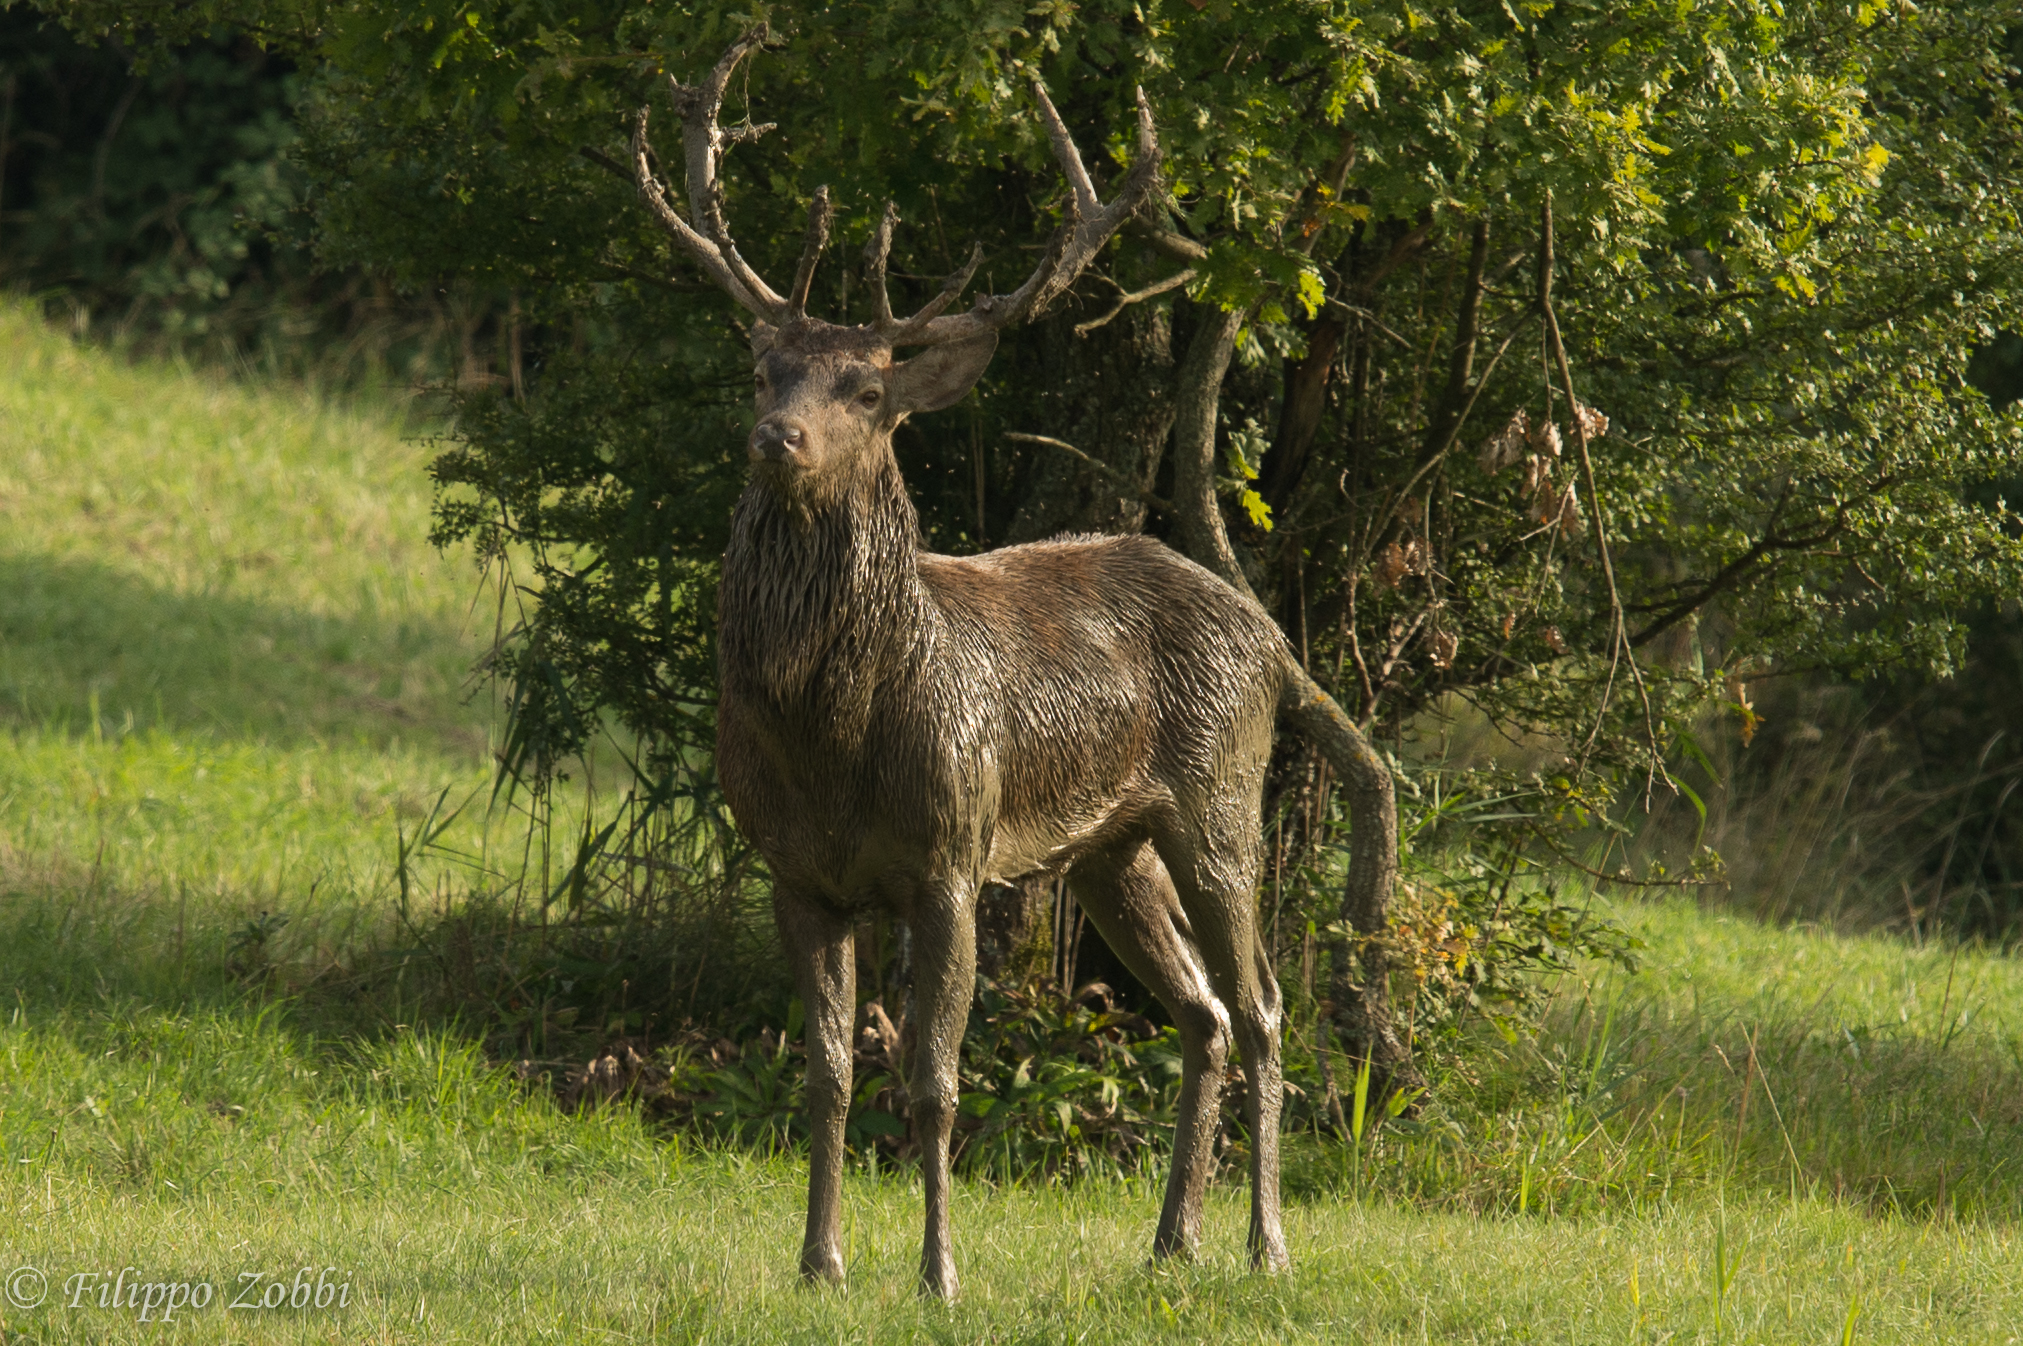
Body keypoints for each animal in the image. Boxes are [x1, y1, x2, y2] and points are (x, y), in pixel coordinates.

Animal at [628, 34, 1396, 1298]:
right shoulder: (796, 871)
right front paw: (819, 1262)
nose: (776, 438)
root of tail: (1273, 639)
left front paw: (938, 1272)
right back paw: (1170, 1237)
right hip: (1110, 847)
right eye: (762, 371)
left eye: (867, 390)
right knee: (1200, 1011)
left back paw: (1265, 1242)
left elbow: (934, 1079)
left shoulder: (950, 848)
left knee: (1264, 1003)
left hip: (1219, 797)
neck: (829, 739)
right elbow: (826, 1071)